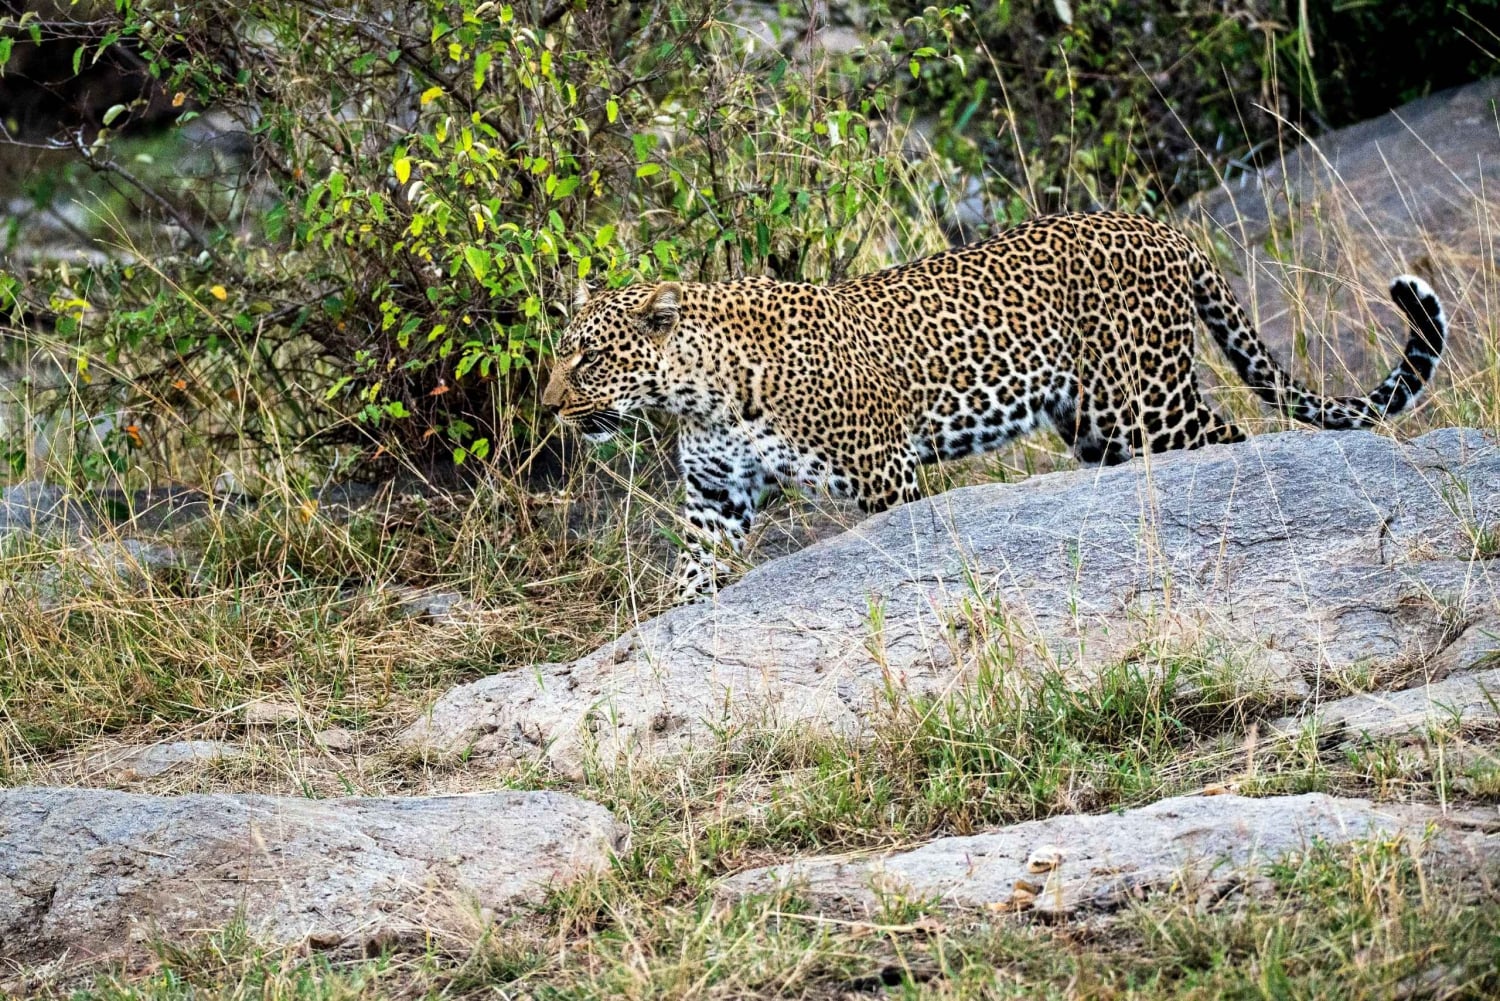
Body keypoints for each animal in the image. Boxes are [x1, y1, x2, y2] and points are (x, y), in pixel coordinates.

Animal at [542, 211, 1447, 602]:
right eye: (560, 353)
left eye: (589, 356)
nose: (550, 407)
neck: (700, 392)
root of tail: (1163, 227)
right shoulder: (716, 499)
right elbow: (691, 573)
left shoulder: (884, 476)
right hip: (1096, 424)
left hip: (1145, 399)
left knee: (1230, 435)